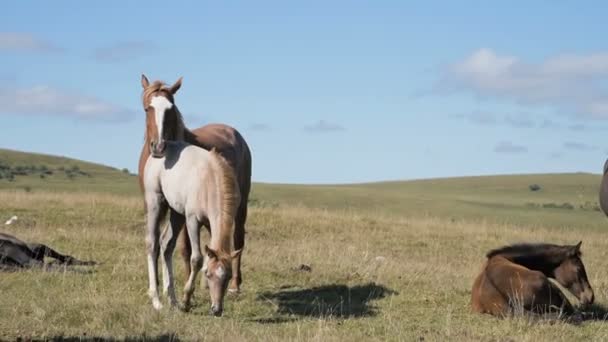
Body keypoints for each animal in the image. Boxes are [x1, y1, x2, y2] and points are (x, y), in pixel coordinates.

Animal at [138, 75, 252, 294]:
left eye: (171, 109)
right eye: (147, 108)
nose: (159, 146)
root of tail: (234, 132)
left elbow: (184, 248)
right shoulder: (154, 203)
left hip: (240, 206)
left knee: (238, 239)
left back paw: (234, 285)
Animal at [144, 140, 241, 316]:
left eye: (229, 276)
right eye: (208, 274)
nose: (216, 310)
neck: (211, 180)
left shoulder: (210, 225)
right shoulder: (192, 220)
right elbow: (197, 259)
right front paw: (186, 300)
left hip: (176, 213)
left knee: (166, 245)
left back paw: (172, 299)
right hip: (155, 201)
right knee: (152, 244)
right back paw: (157, 300)